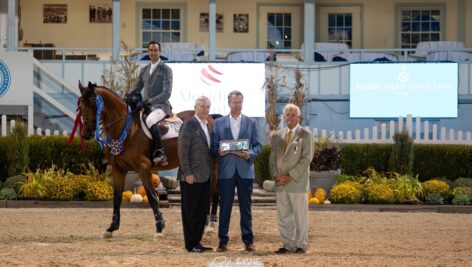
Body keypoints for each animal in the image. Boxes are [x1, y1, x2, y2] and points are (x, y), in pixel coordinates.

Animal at [76, 81, 218, 239]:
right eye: (81, 107)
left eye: (94, 105)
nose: (86, 134)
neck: (126, 128)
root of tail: (210, 118)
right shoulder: (118, 170)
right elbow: (117, 198)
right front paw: (111, 228)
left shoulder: (143, 168)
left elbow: (151, 196)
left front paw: (159, 228)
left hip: (213, 166)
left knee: (214, 193)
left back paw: (210, 226)